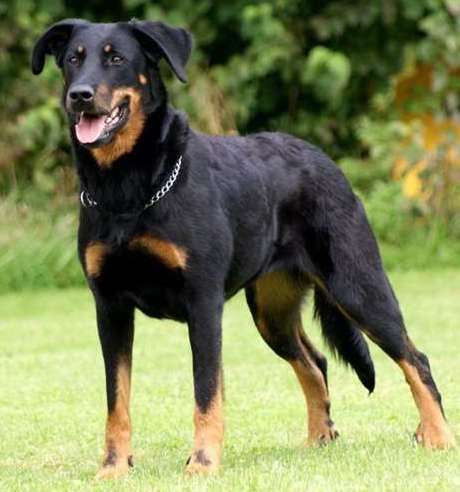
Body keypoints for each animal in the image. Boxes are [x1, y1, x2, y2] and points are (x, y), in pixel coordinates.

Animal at [30, 18, 454, 476]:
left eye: (116, 58)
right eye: (73, 59)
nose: (80, 96)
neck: (128, 189)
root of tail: (326, 162)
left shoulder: (202, 302)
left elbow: (206, 393)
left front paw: (202, 463)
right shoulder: (109, 306)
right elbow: (117, 400)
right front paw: (113, 467)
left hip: (359, 287)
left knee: (415, 359)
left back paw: (438, 436)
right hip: (272, 312)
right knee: (315, 363)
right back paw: (320, 438)